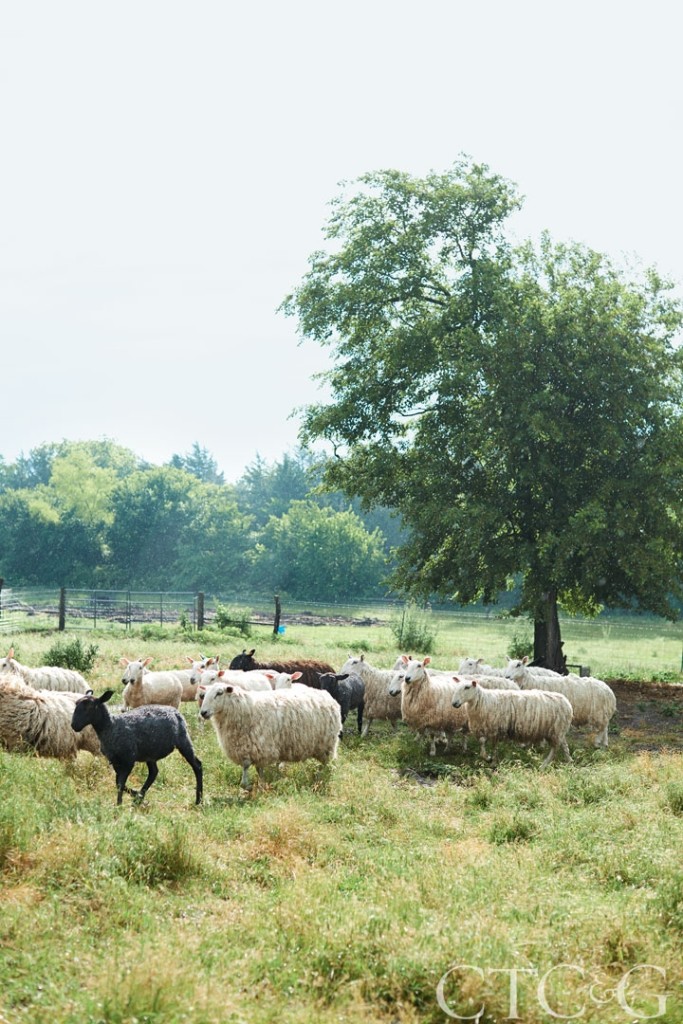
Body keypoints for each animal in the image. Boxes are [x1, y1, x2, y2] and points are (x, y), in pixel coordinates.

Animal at [71, 688, 201, 806]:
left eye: (90, 707)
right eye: (76, 704)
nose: (74, 725)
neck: (110, 727)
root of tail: (174, 711)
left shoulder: (129, 760)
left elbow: (120, 783)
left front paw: (119, 804)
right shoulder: (114, 761)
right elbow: (118, 783)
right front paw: (133, 794)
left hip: (183, 740)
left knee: (197, 765)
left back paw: (198, 800)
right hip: (150, 752)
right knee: (153, 772)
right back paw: (139, 798)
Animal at [200, 679, 344, 790]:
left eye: (219, 693)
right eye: (204, 695)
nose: (203, 712)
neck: (245, 709)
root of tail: (327, 695)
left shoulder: (260, 746)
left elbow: (248, 765)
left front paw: (248, 785)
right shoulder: (250, 747)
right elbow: (254, 767)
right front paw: (258, 782)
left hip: (328, 744)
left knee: (327, 764)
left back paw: (321, 777)